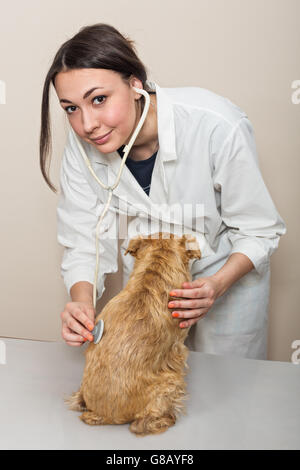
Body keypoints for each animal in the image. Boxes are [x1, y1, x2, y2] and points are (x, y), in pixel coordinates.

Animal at [65, 232, 202, 436]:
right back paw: (166, 418)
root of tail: (102, 414)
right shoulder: (178, 347)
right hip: (169, 382)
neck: (154, 271)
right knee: (140, 425)